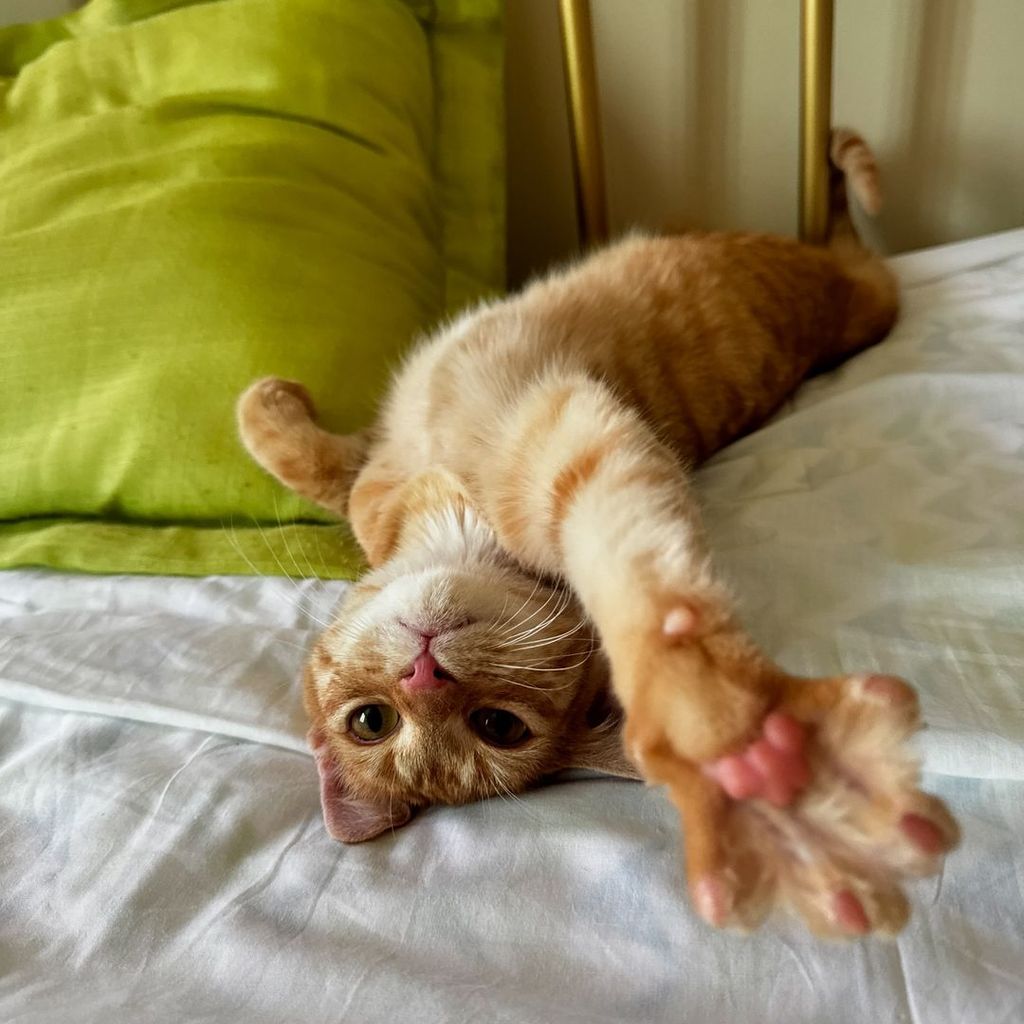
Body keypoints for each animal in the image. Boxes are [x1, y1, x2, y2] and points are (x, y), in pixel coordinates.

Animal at [239, 132, 958, 937]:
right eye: (377, 721)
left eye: (495, 725)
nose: (422, 675)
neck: (437, 499)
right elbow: (321, 466)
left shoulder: (546, 439)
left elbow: (305, 457)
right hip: (852, 279)